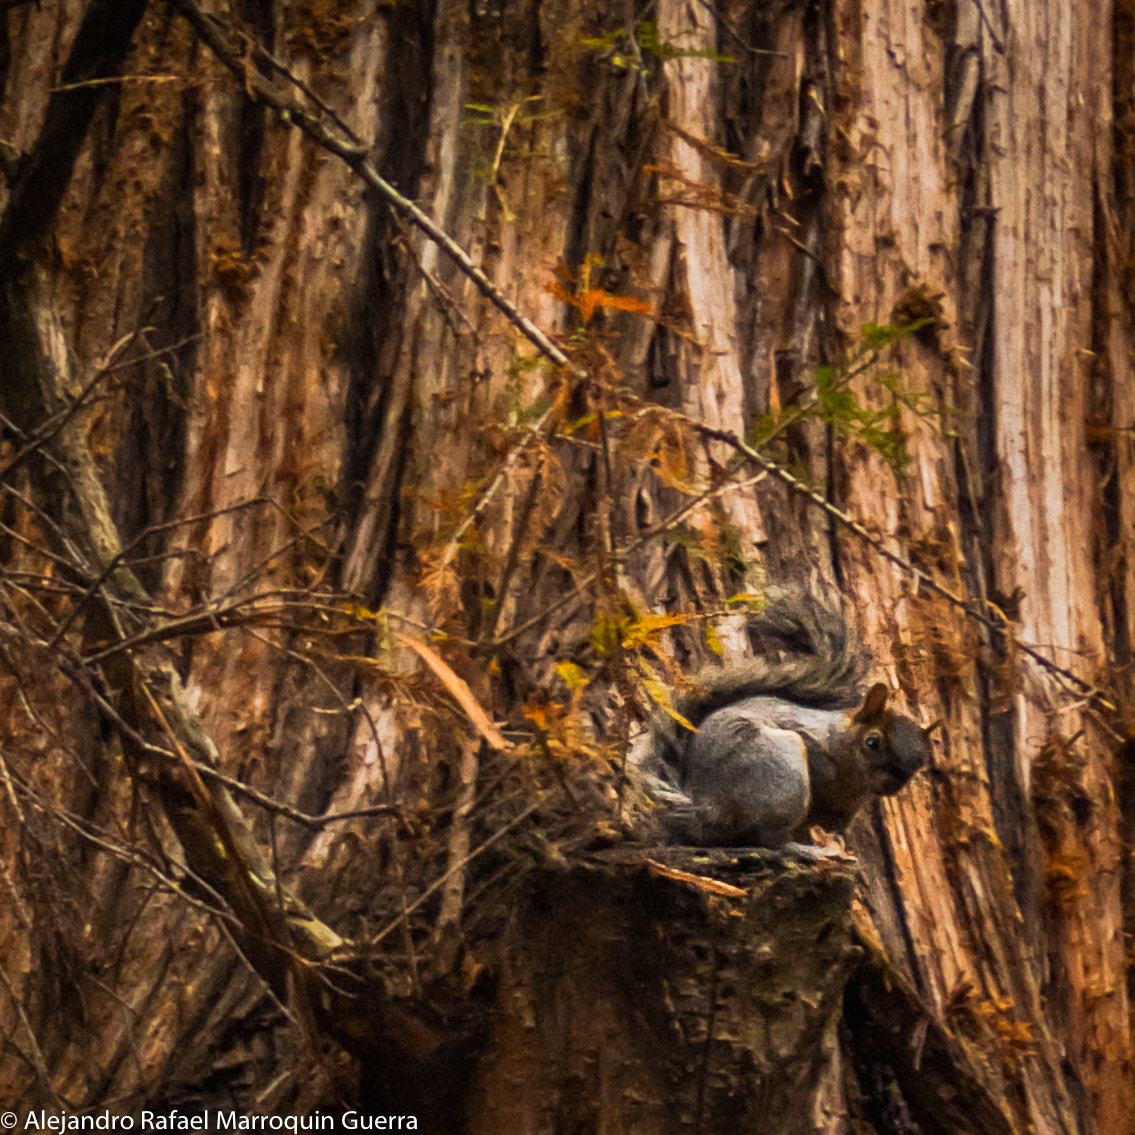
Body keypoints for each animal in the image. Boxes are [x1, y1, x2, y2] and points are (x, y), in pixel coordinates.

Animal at [641, 592, 933, 850]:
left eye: (921, 761)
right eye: (871, 742)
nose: (893, 786)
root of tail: (708, 810)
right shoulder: (805, 734)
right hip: (780, 777)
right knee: (771, 839)